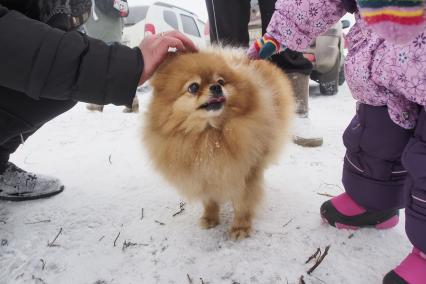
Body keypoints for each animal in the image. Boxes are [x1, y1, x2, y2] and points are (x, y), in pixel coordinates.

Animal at [143, 48, 292, 240]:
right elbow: (209, 200)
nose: (216, 87)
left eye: (221, 81)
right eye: (193, 87)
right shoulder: (204, 175)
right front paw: (210, 218)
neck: (209, 135)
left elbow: (243, 203)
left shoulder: (245, 174)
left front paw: (240, 227)